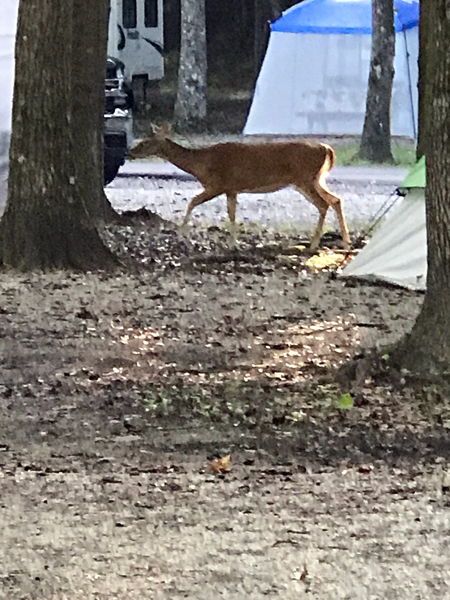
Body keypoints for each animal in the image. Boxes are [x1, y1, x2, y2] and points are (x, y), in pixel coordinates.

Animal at [128, 123, 350, 250]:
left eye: (145, 142)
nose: (130, 152)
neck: (201, 164)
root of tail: (327, 149)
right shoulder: (231, 189)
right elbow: (232, 214)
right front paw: (234, 244)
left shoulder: (217, 184)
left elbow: (192, 202)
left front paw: (181, 234)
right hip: (316, 179)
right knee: (336, 200)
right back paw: (345, 242)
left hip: (305, 178)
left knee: (324, 204)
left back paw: (314, 245)